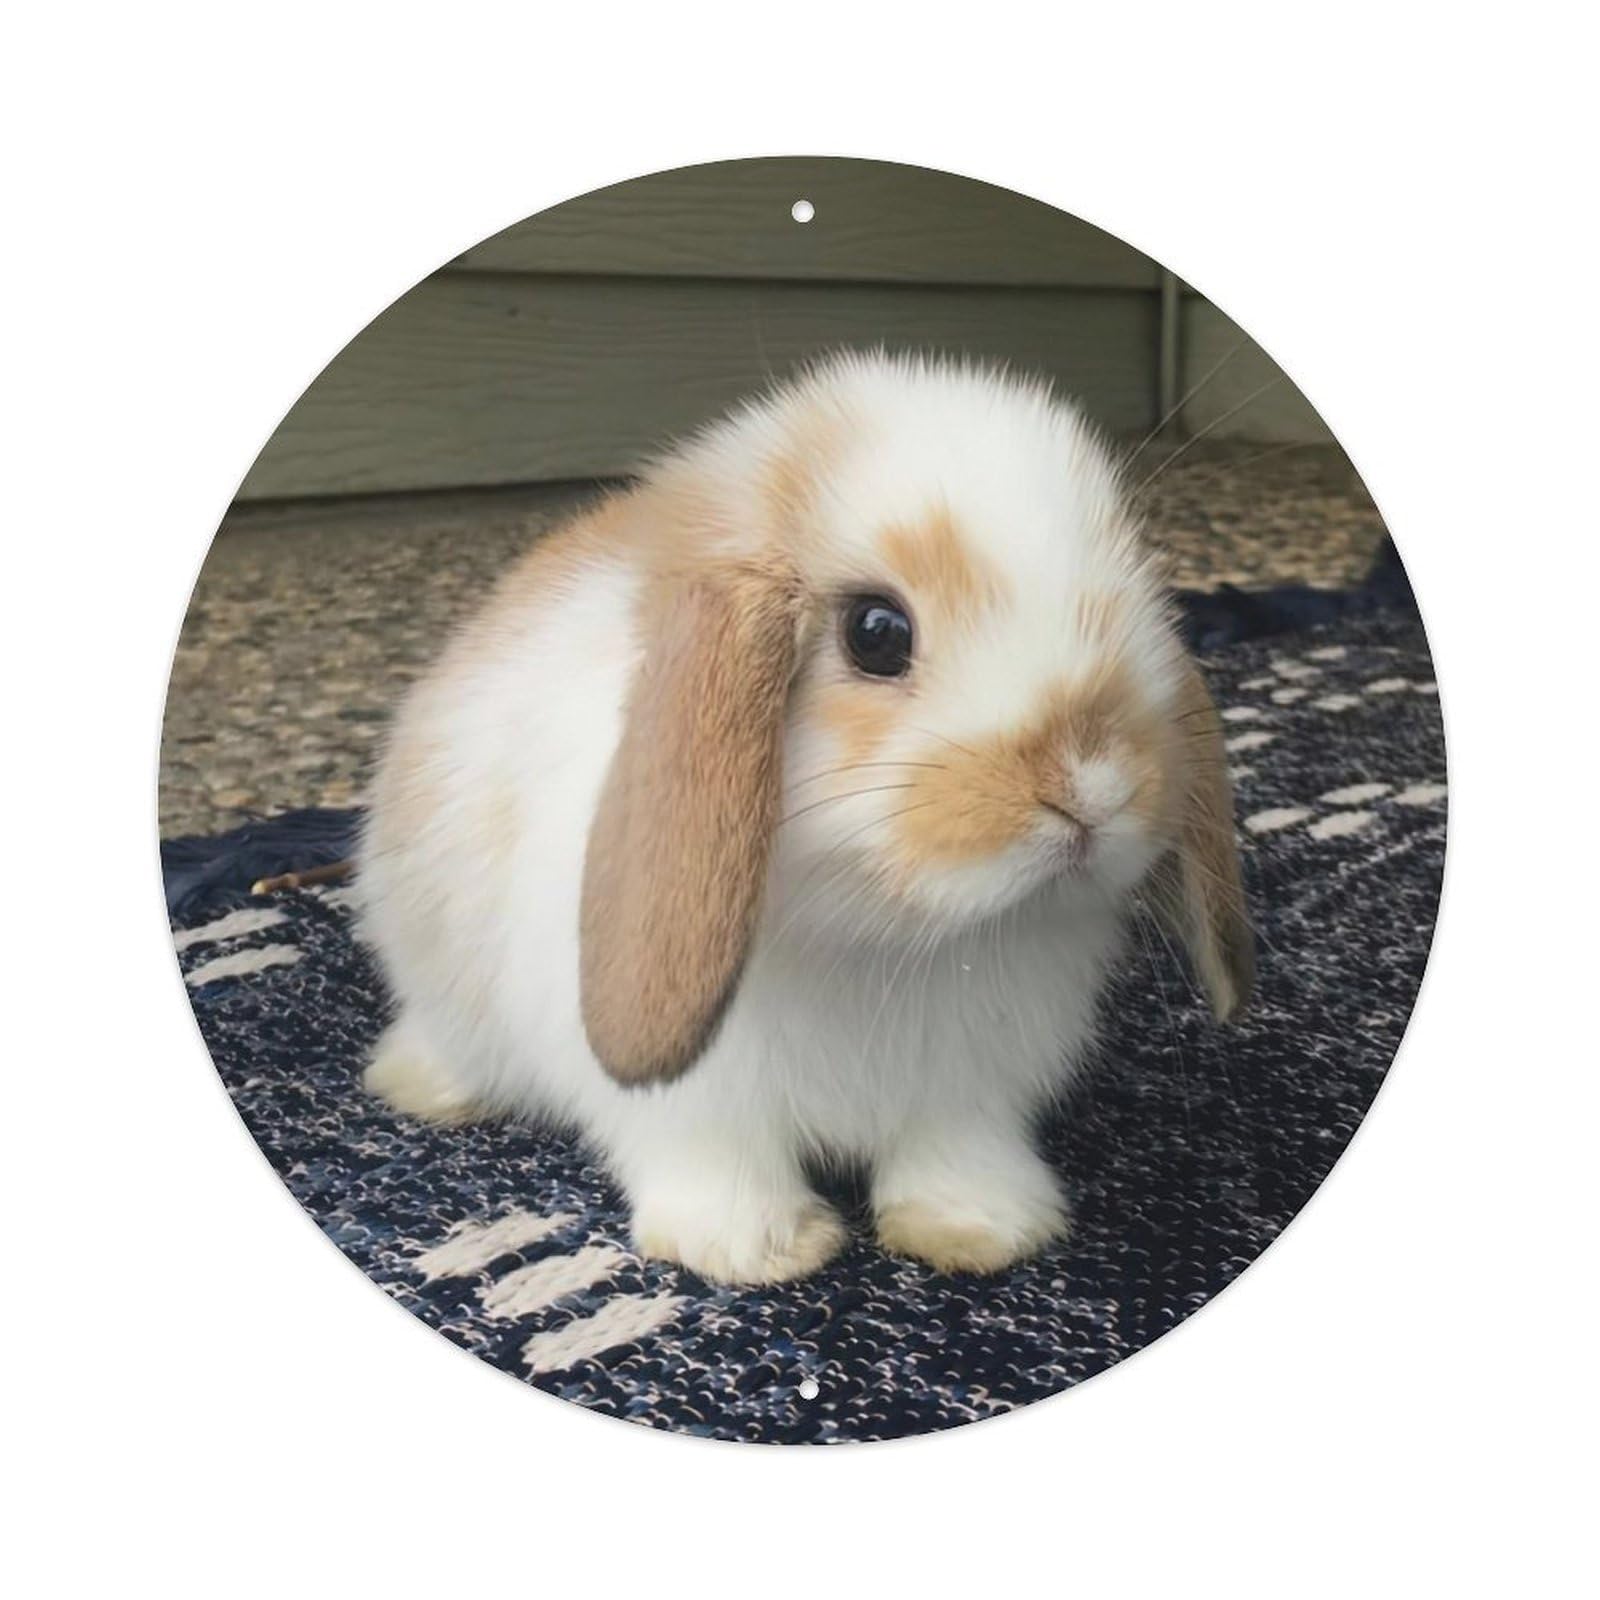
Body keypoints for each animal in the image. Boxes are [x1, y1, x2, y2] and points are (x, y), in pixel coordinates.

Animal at [357, 351, 1253, 1285]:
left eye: (1138, 601)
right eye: (876, 632)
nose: (1091, 786)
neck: (887, 940)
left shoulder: (967, 1091)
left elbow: (956, 1156)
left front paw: (981, 1232)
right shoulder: (696, 1106)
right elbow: (713, 1162)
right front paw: (754, 1251)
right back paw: (426, 1088)